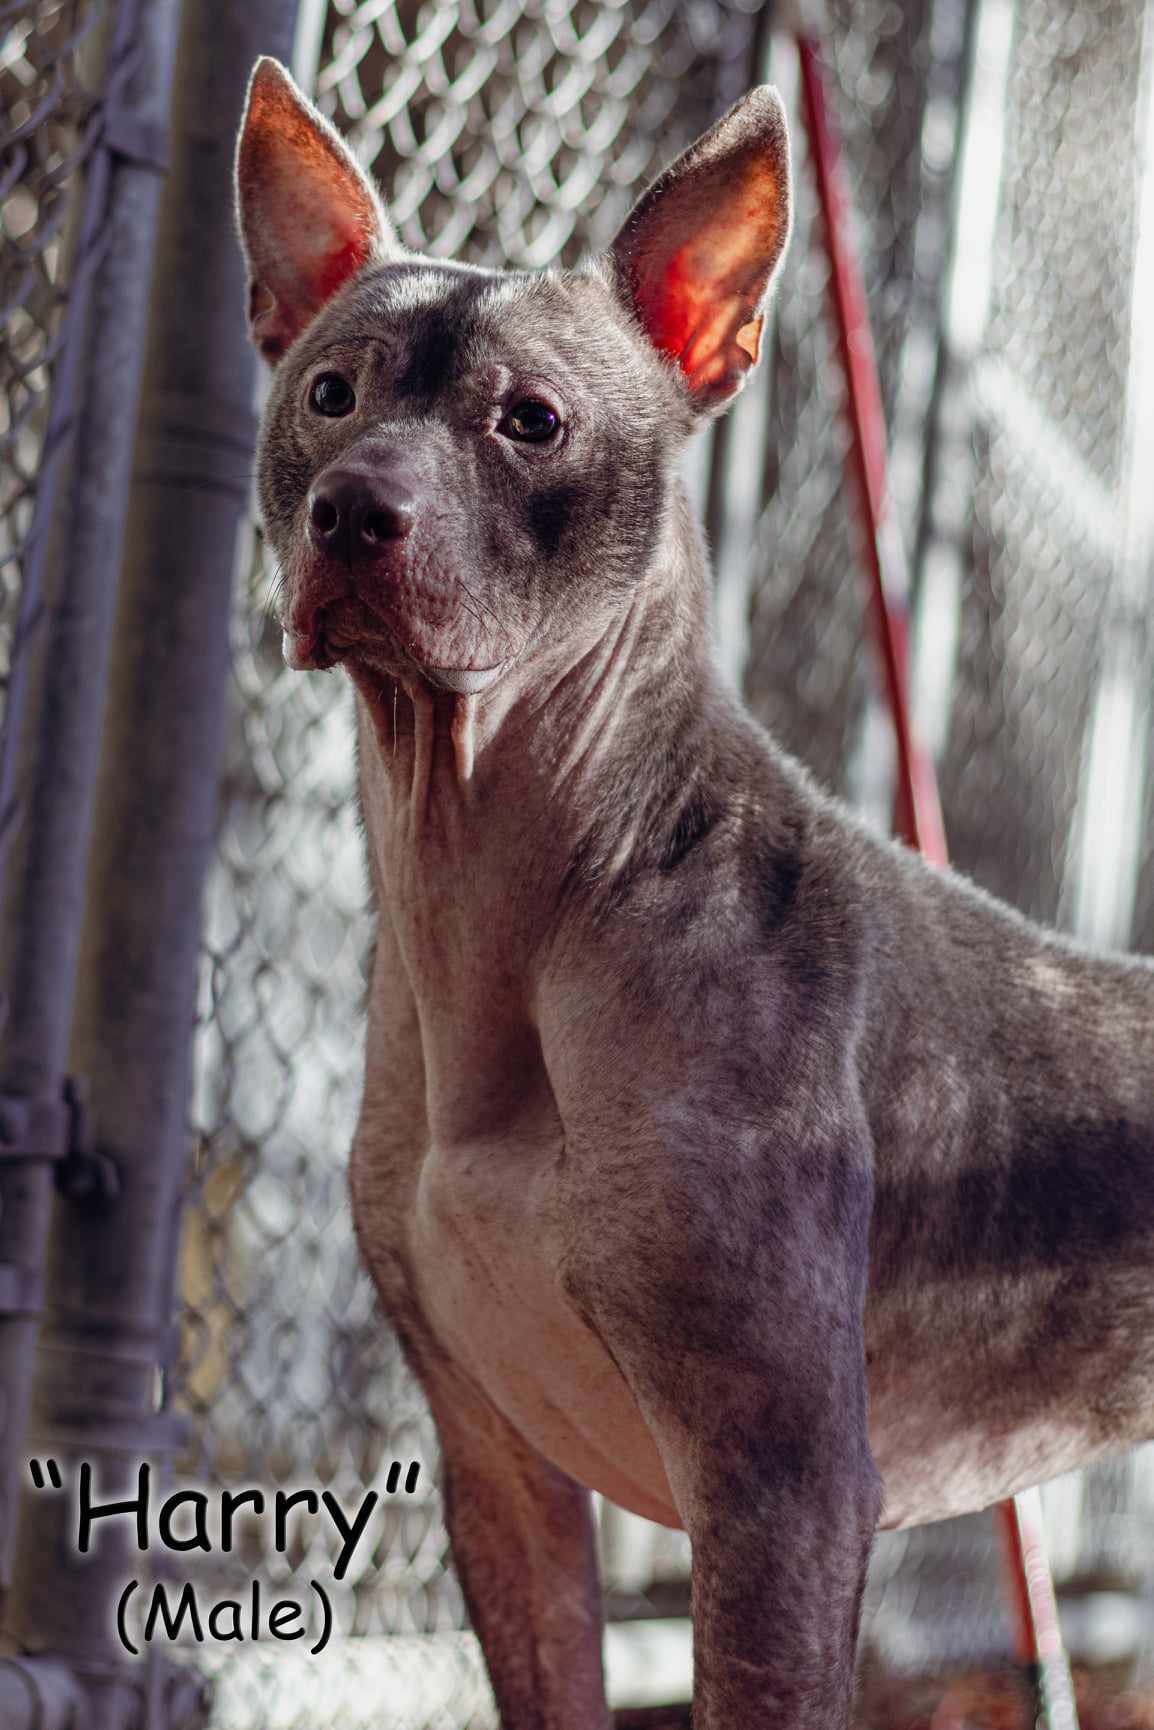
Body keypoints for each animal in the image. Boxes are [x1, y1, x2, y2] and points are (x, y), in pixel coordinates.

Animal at [235, 60, 1154, 1730]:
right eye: (331, 392)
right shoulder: (500, 1476)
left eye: (530, 422)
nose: (352, 510)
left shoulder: (781, 1487)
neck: (507, 886)